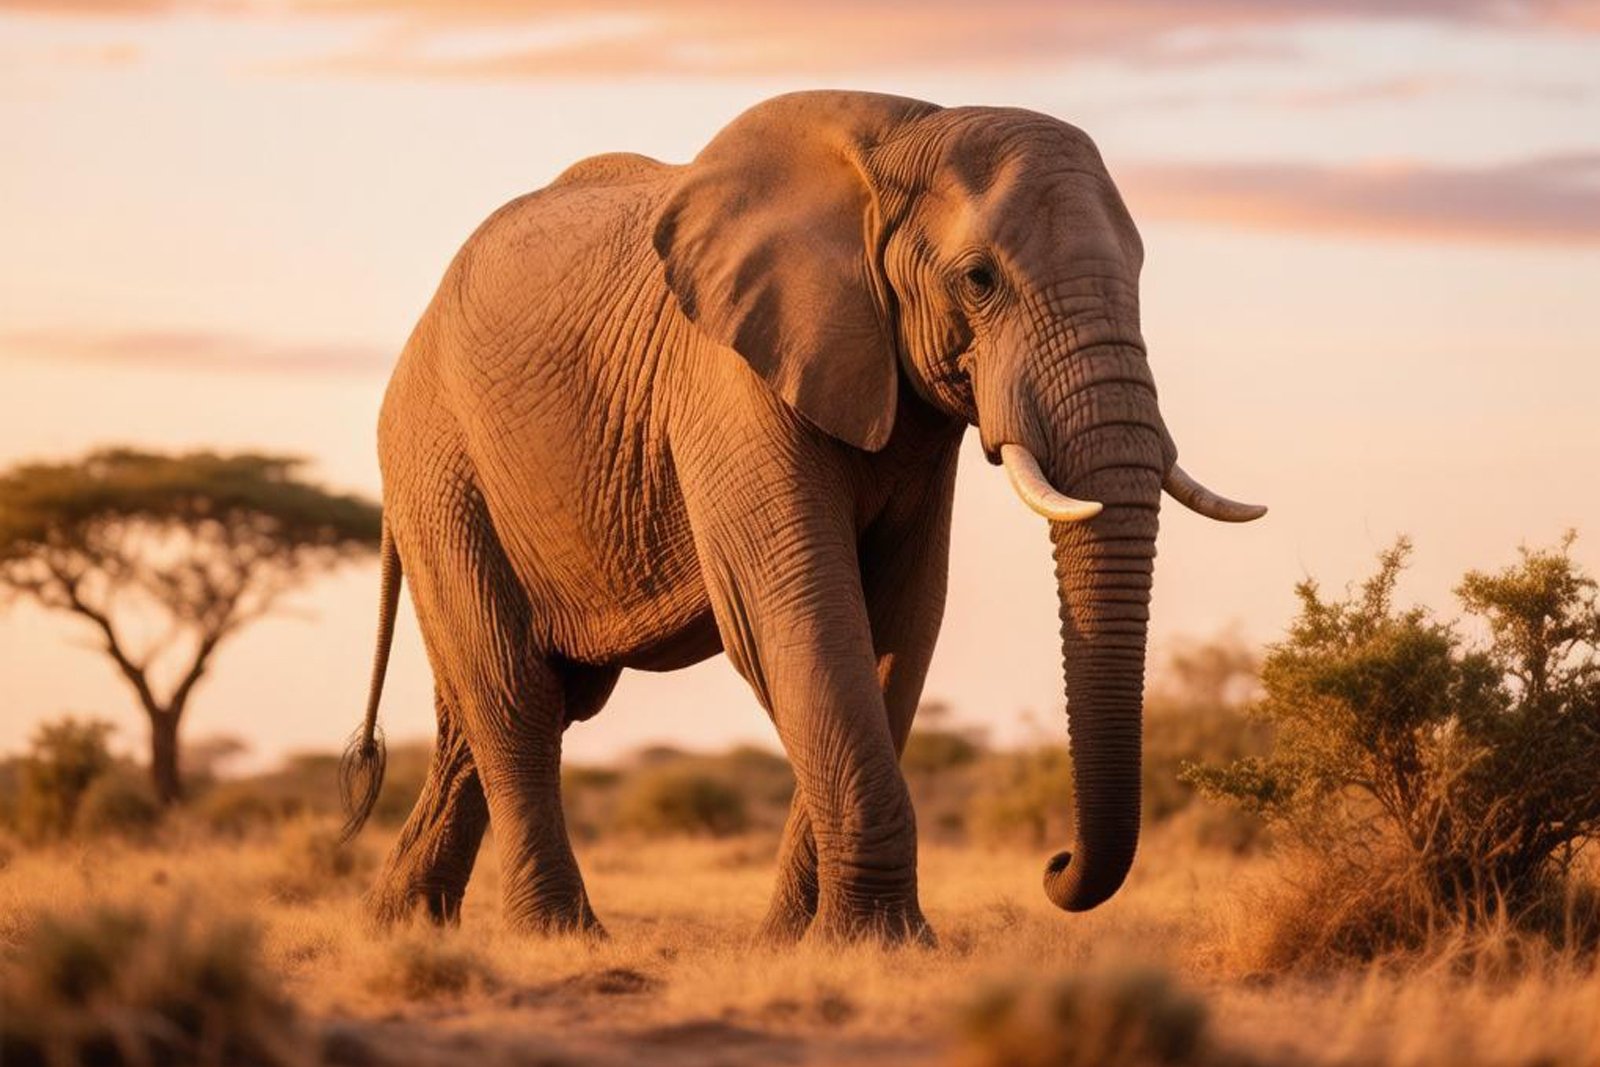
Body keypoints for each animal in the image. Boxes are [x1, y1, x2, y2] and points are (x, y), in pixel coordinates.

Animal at [338, 90, 1265, 944]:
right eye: (980, 279)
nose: (1055, 863)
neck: (906, 134)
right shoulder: (731, 379)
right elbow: (799, 614)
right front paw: (880, 941)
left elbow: (902, 623)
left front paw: (799, 939)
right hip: (439, 464)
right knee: (517, 695)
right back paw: (557, 937)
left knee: (493, 709)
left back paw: (399, 925)